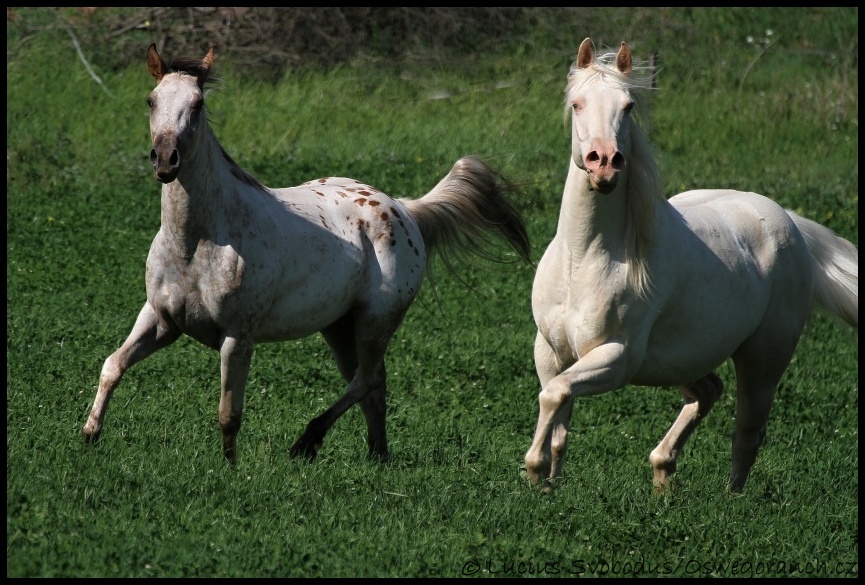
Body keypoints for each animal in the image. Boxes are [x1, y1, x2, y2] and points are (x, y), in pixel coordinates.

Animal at [84, 43, 528, 464]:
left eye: (198, 104)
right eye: (151, 99)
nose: (165, 160)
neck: (197, 243)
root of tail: (404, 208)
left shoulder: (237, 337)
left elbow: (229, 413)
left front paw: (229, 468)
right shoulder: (161, 320)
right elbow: (112, 365)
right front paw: (90, 435)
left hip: (375, 321)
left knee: (366, 380)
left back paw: (308, 442)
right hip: (339, 327)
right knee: (372, 384)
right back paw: (377, 456)